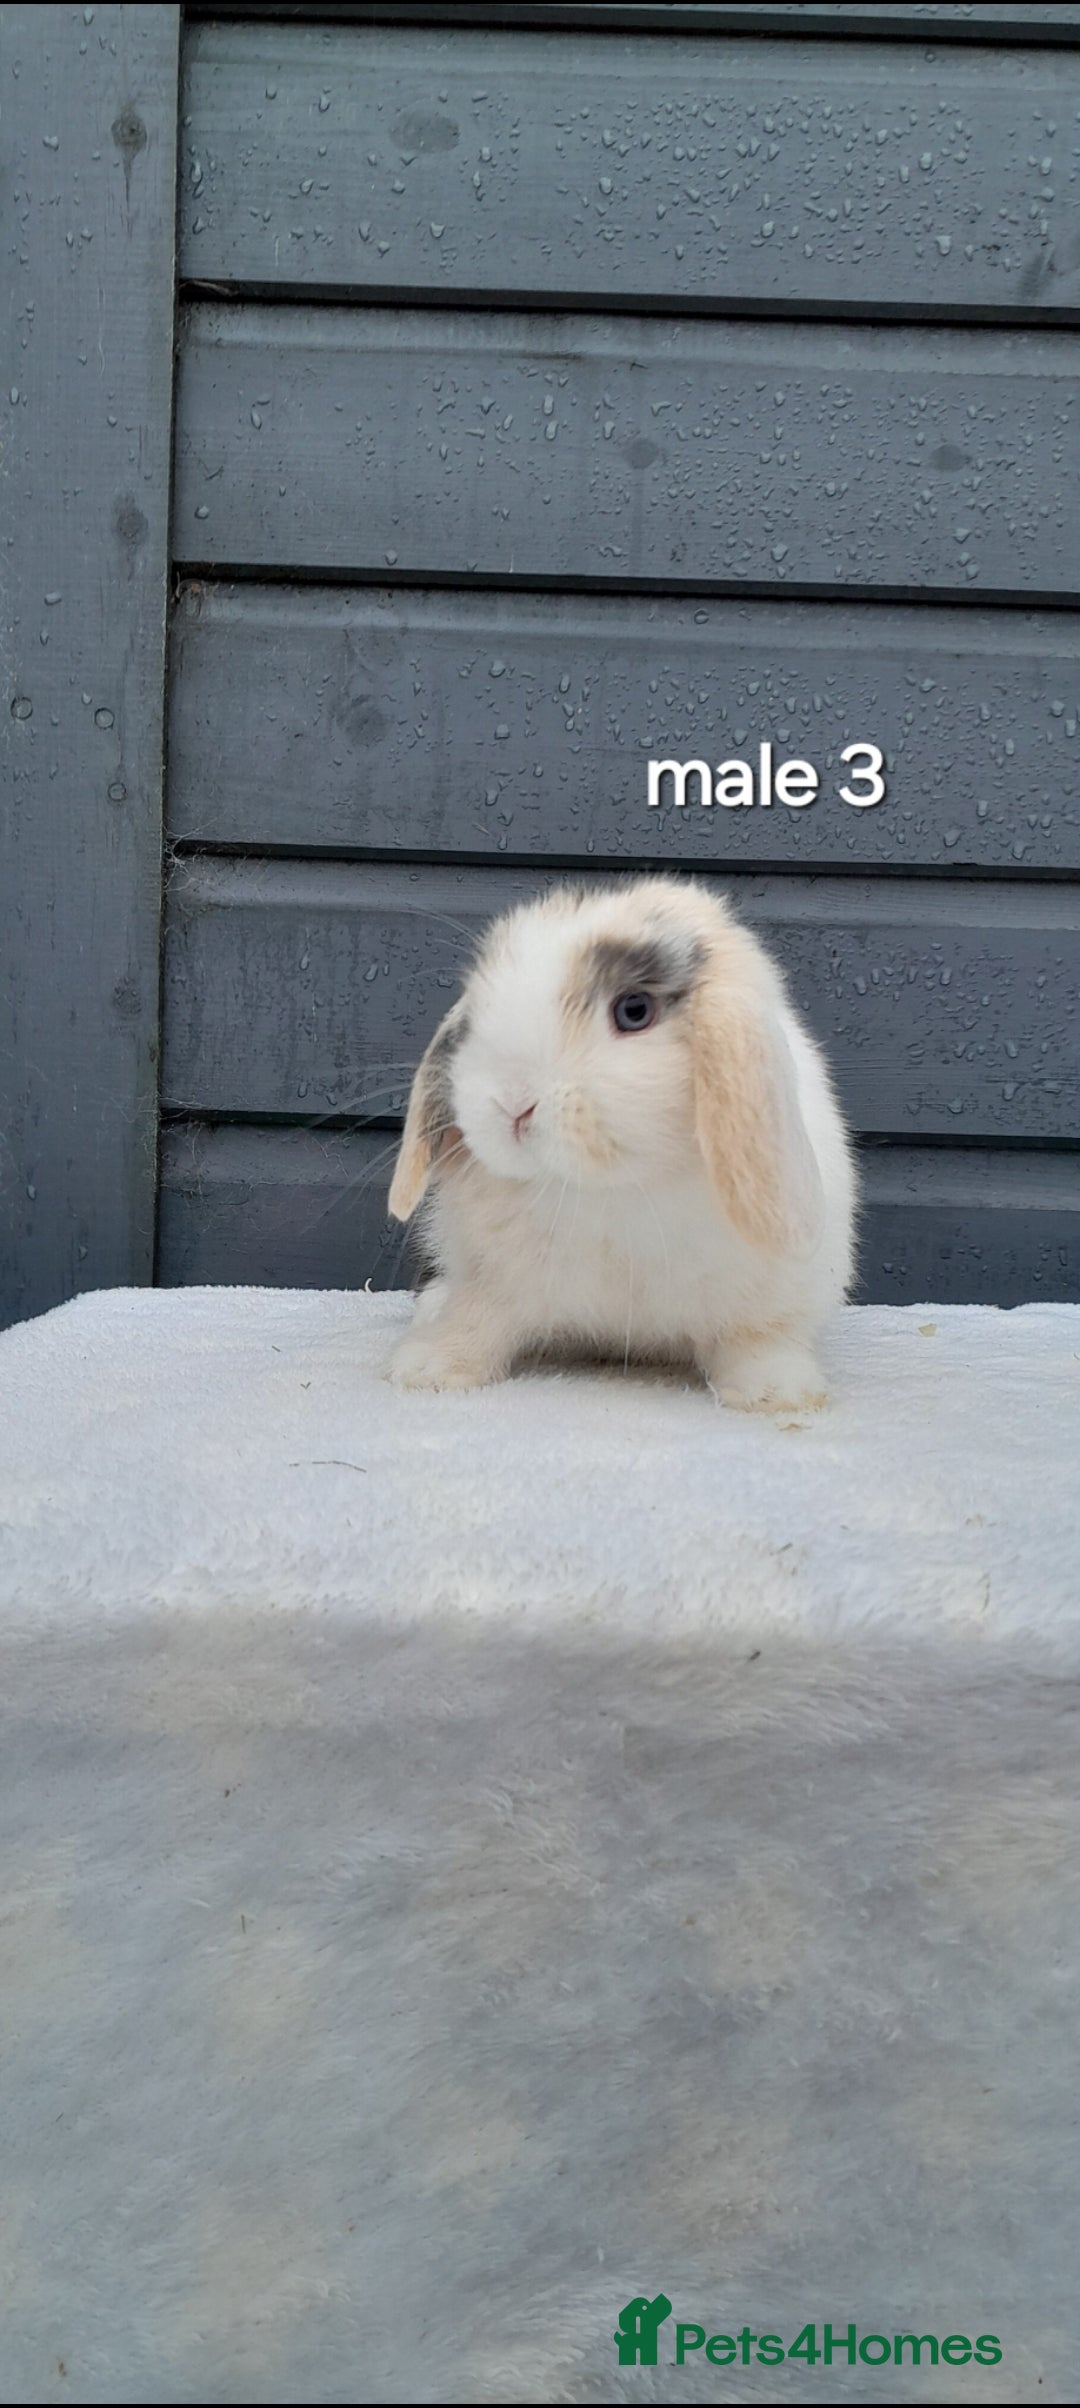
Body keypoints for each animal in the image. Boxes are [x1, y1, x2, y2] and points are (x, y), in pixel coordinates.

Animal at [385, 876, 857, 1410]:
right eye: (477, 1013)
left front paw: (778, 1393)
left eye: (635, 1011)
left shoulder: (762, 1304)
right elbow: (478, 1321)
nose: (511, 1103)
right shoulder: (493, 1283)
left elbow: (756, 1340)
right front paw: (428, 1369)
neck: (615, 1189)